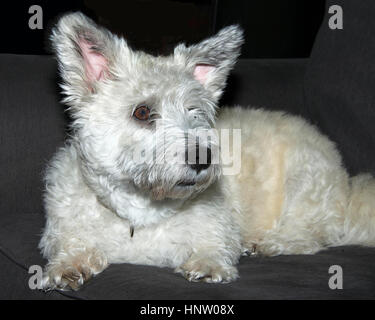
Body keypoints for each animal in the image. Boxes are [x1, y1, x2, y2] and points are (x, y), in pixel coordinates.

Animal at [39, 11, 375, 290]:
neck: (142, 209)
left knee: (312, 236)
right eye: (142, 112)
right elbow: (71, 246)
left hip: (305, 182)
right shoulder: (64, 230)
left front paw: (208, 265)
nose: (203, 158)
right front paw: (66, 267)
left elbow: (214, 246)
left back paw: (269, 242)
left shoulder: (217, 229)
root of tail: (348, 184)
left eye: (195, 111)